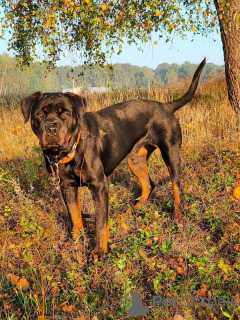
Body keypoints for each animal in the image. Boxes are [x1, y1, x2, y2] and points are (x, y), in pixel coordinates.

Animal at [19, 58, 205, 258]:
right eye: (39, 114)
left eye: (65, 114)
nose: (51, 128)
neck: (69, 150)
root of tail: (165, 106)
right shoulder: (67, 186)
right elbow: (75, 217)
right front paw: (75, 242)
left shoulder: (99, 186)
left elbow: (101, 221)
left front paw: (99, 250)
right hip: (135, 160)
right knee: (149, 184)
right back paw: (137, 207)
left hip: (171, 153)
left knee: (178, 189)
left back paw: (178, 218)